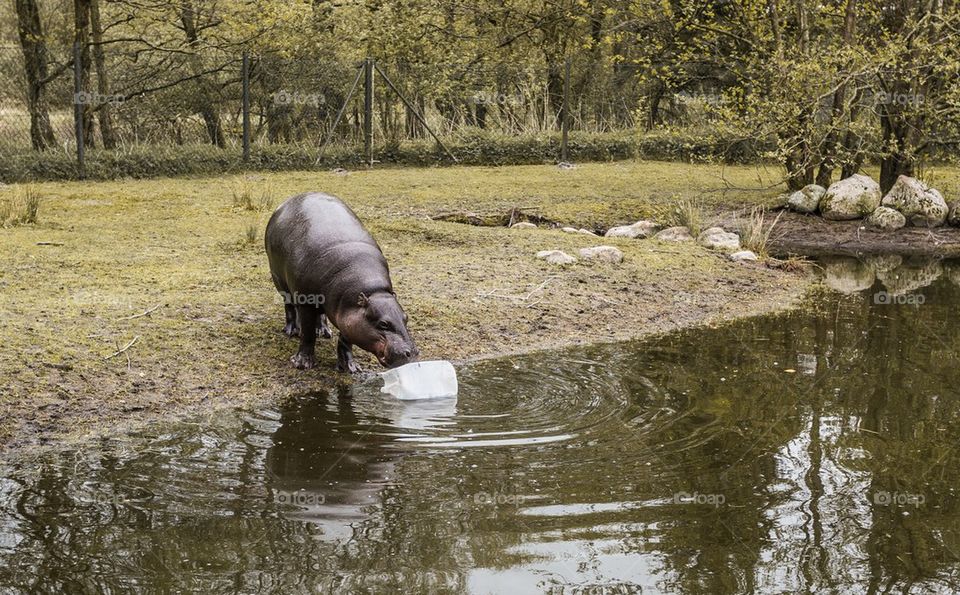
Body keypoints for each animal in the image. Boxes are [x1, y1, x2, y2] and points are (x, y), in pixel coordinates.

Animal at [268, 192, 422, 372]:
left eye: (406, 318)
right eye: (383, 324)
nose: (411, 353)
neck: (373, 291)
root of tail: (289, 200)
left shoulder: (347, 312)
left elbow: (346, 341)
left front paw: (350, 367)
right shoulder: (306, 303)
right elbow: (307, 333)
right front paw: (302, 363)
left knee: (320, 315)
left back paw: (324, 331)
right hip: (279, 280)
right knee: (289, 305)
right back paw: (292, 330)